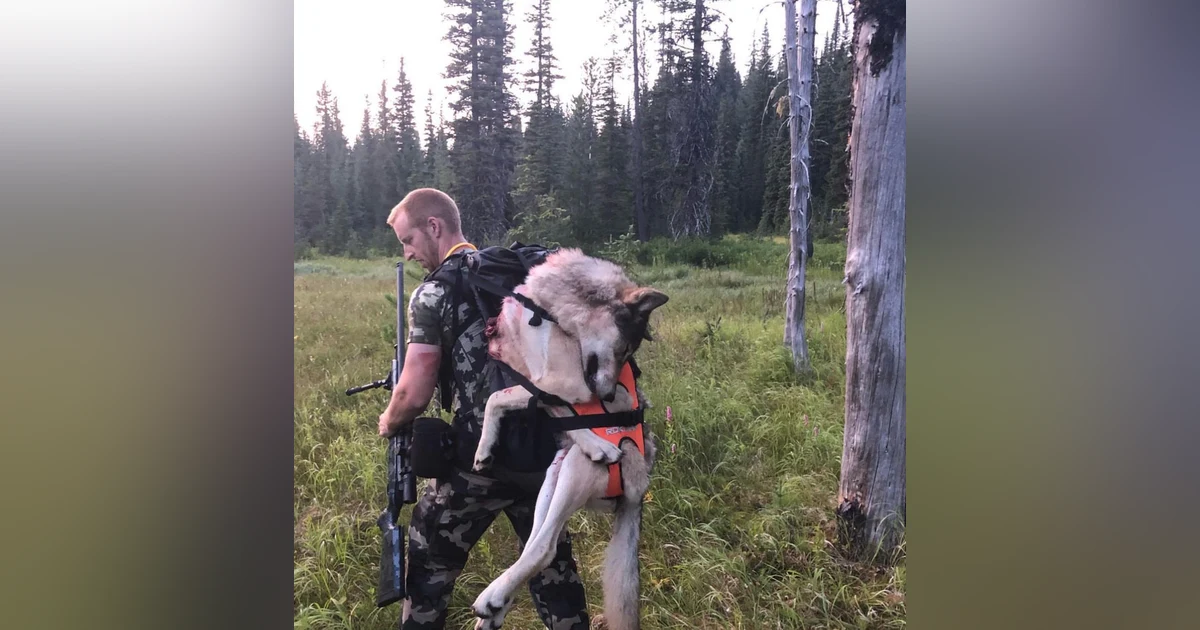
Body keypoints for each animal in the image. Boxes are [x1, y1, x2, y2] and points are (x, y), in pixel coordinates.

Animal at [469, 248, 668, 630]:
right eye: (625, 349)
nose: (608, 395)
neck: (551, 311)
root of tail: (638, 494)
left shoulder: (563, 383)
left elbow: (501, 397)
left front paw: (598, 444)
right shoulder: (544, 382)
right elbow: (529, 403)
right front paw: (484, 449)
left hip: (575, 469)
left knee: (545, 549)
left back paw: (492, 597)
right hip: (554, 475)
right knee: (537, 542)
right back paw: (495, 608)